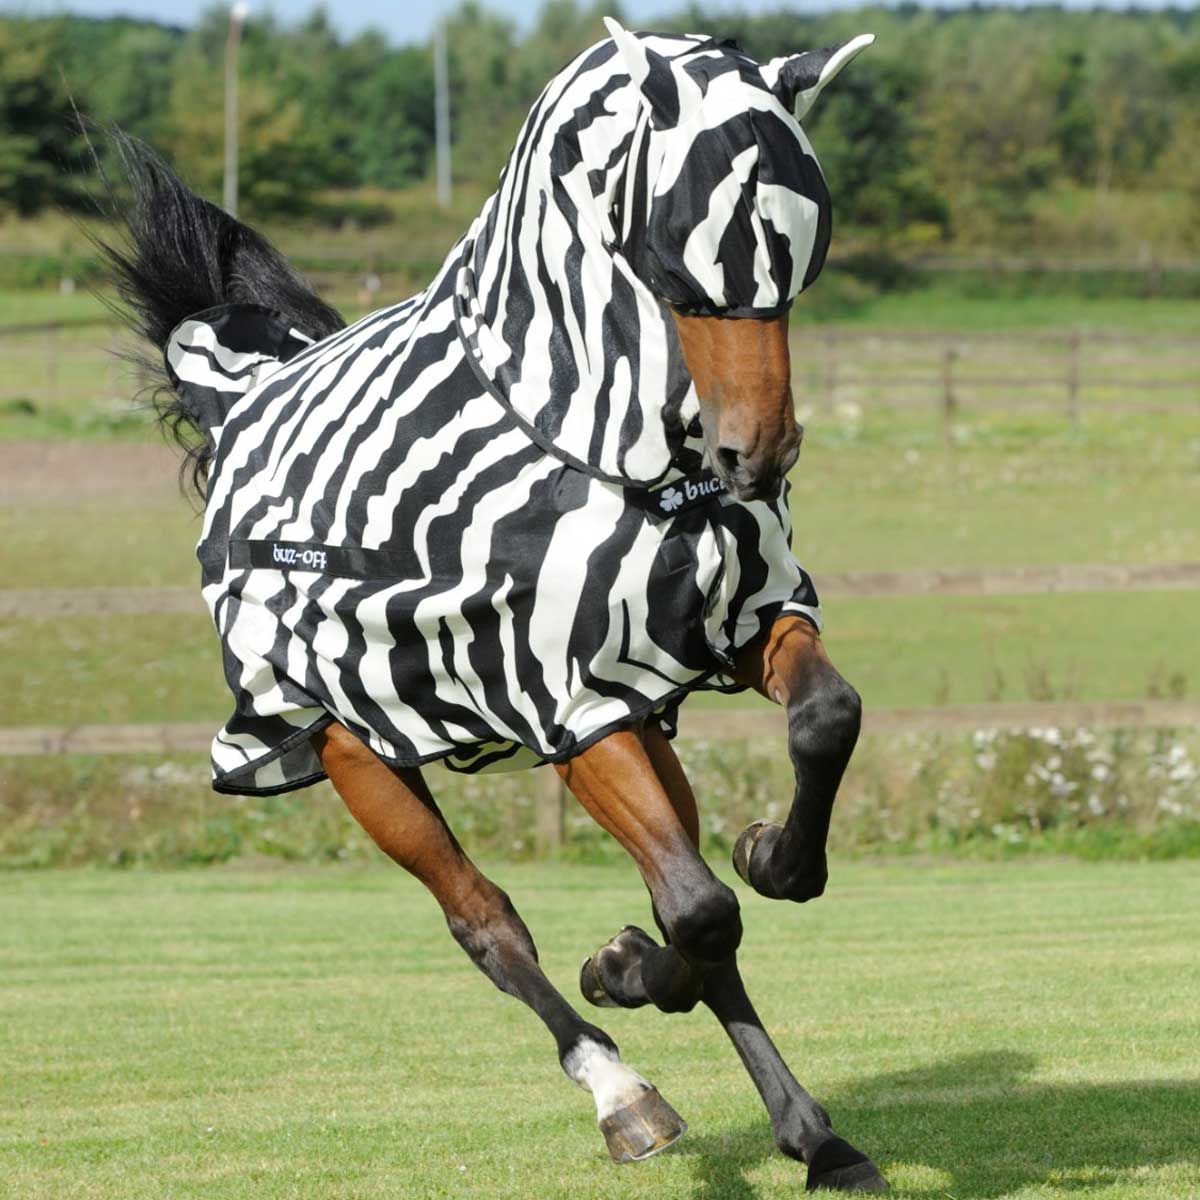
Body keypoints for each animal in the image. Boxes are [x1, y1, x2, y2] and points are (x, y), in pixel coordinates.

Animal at [98, 17, 885, 1191]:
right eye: (677, 247)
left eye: (804, 247)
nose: (758, 454)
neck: (592, 448)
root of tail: (241, 399)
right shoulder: (570, 705)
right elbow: (700, 911)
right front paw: (649, 982)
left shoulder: (727, 628)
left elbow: (819, 731)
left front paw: (758, 870)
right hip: (357, 756)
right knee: (489, 924)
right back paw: (623, 1094)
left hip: (629, 726)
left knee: (673, 893)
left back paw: (738, 1064)